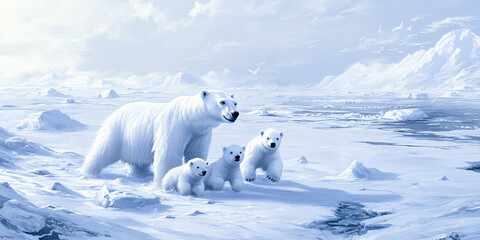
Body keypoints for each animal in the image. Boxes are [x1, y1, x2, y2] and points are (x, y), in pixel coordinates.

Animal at [82, 90, 240, 186]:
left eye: (235, 102)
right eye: (222, 102)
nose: (235, 113)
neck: (189, 118)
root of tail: (116, 111)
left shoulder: (200, 134)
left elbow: (196, 152)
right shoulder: (175, 126)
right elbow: (168, 152)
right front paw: (165, 180)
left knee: (138, 161)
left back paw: (141, 173)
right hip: (118, 131)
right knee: (103, 151)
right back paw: (88, 172)